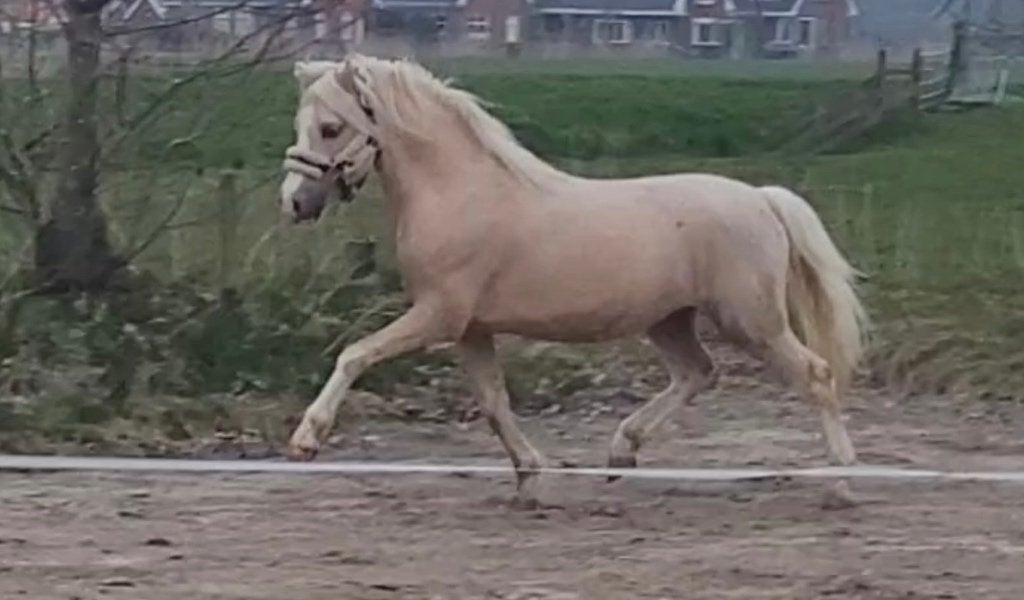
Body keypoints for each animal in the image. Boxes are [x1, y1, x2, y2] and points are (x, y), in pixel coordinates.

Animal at [279, 55, 869, 506]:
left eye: (331, 128)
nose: (294, 203)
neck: (460, 193)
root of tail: (763, 199)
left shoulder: (437, 316)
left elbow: (354, 354)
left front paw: (306, 440)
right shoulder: (471, 329)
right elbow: (494, 404)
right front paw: (528, 480)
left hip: (751, 322)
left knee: (815, 376)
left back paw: (841, 482)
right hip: (670, 320)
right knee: (697, 373)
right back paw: (621, 452)